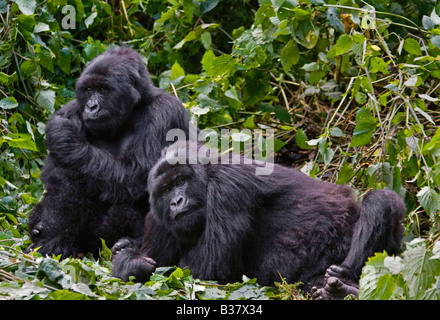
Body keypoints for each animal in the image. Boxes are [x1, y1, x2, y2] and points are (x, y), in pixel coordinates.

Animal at [27, 47, 189, 258]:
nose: (91, 106)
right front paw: (52, 234)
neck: (133, 111)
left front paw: (65, 138)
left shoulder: (165, 111)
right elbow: (61, 179)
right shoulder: (72, 110)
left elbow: (139, 175)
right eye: (89, 90)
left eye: (103, 90)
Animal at [111, 141, 406, 298]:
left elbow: (206, 274)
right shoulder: (157, 217)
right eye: (165, 190)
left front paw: (126, 255)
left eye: (181, 181)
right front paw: (127, 259)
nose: (177, 202)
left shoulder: (228, 185)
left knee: (379, 202)